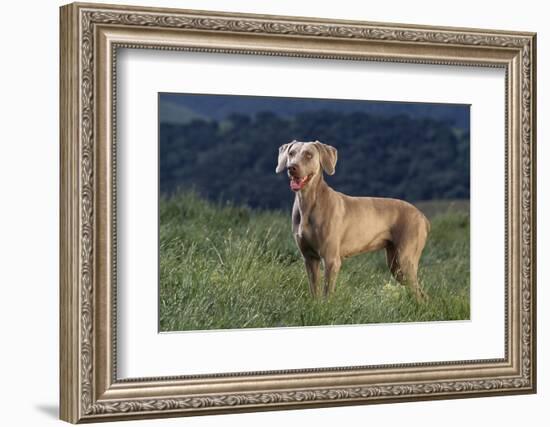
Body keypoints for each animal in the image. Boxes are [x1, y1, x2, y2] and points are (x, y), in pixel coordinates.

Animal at [276, 140, 432, 300]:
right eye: (291, 153)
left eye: (309, 155)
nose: (291, 167)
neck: (308, 203)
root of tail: (422, 216)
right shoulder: (309, 259)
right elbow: (315, 292)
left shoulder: (331, 260)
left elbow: (327, 295)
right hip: (395, 264)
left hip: (404, 260)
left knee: (421, 296)